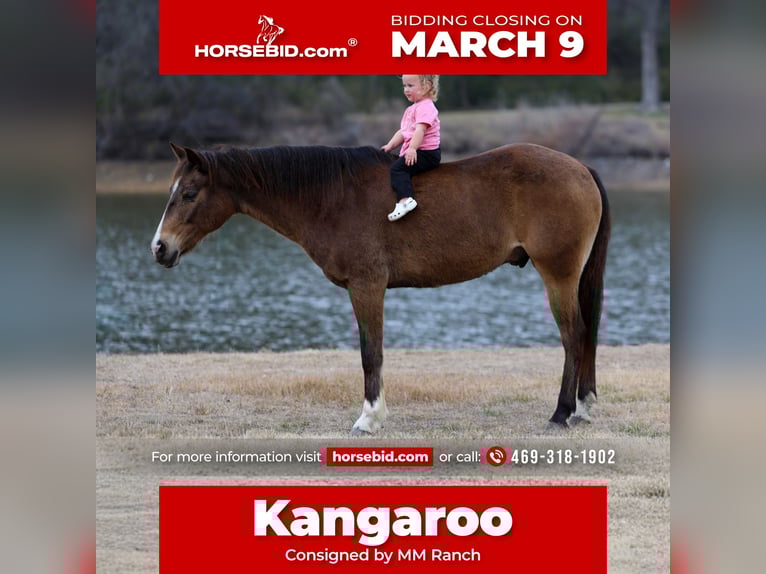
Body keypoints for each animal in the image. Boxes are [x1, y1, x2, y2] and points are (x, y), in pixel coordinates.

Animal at [151, 142, 610, 434]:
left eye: (189, 193)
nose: (160, 247)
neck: (332, 197)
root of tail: (581, 168)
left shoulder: (367, 286)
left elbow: (371, 354)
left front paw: (369, 419)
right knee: (583, 336)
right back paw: (582, 408)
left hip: (558, 275)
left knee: (574, 336)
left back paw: (562, 413)